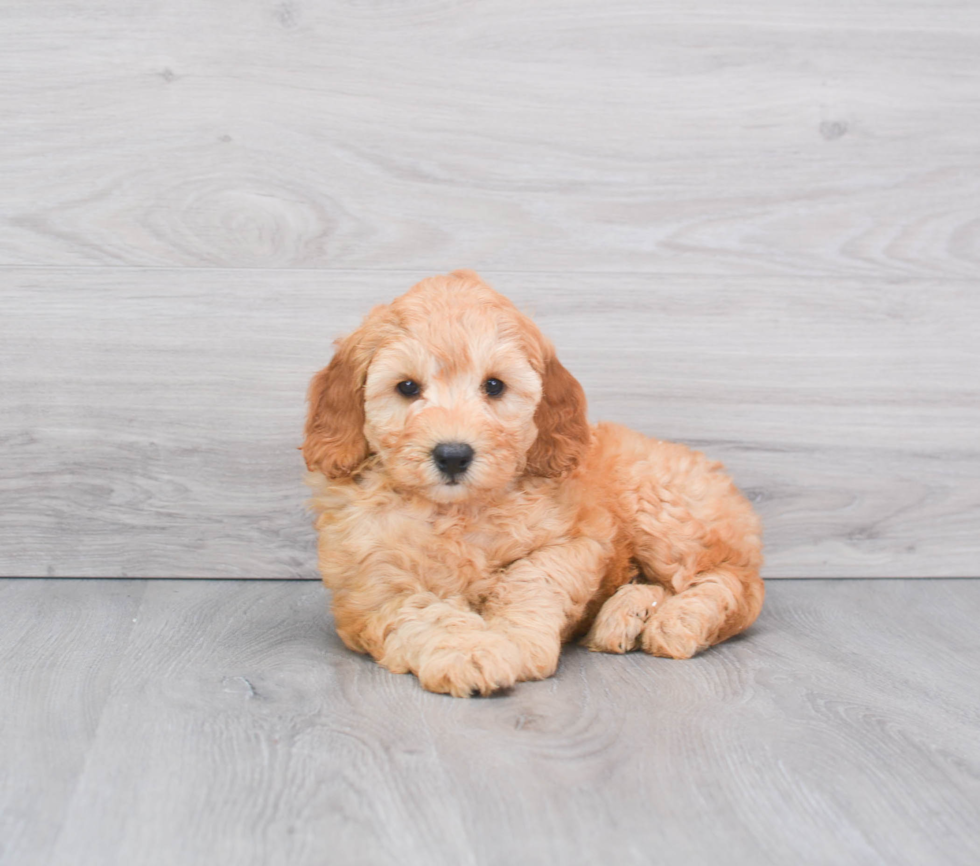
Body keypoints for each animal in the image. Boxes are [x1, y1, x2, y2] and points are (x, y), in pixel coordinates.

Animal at [302, 270, 760, 696]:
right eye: (408, 387)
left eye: (494, 386)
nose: (453, 454)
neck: (457, 512)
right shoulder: (372, 584)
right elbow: (424, 611)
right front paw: (470, 651)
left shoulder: (574, 540)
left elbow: (531, 579)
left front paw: (514, 643)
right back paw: (623, 616)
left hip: (661, 507)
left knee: (734, 582)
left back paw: (678, 620)